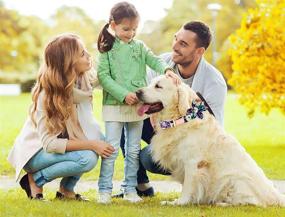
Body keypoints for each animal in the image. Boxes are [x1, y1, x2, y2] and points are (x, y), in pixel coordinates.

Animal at [136, 75, 284, 206]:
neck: (180, 119)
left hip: (235, 181)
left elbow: (188, 187)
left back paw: (221, 204)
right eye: (150, 83)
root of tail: (275, 195)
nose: (137, 92)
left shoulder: (192, 162)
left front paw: (180, 202)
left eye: (158, 86)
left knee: (250, 202)